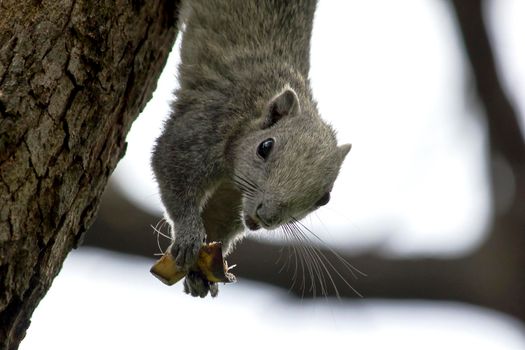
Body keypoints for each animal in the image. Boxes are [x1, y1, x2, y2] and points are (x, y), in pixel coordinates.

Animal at [149, 0, 350, 298]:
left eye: (324, 199)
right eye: (265, 147)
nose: (266, 217)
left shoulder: (231, 196)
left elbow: (219, 219)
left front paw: (201, 271)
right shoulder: (205, 126)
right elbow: (170, 165)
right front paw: (187, 234)